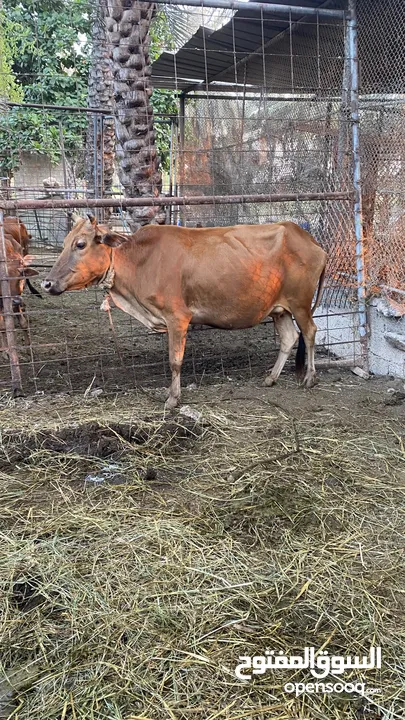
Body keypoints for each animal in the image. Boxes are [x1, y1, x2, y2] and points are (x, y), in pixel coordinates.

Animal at [42, 215, 326, 404]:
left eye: (80, 244)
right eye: (65, 242)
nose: (47, 283)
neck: (139, 261)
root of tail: (310, 239)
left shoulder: (177, 318)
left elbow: (175, 361)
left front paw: (172, 398)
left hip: (300, 304)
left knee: (310, 332)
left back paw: (310, 378)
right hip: (279, 309)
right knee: (289, 338)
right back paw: (271, 378)